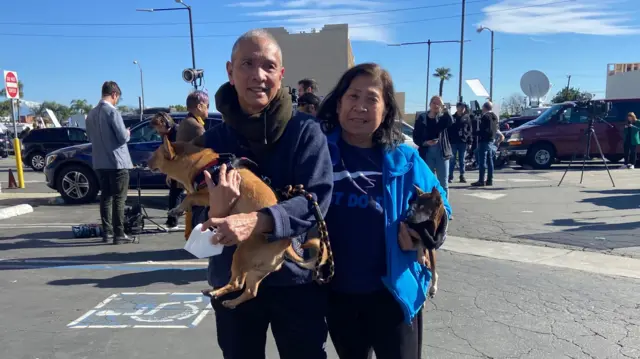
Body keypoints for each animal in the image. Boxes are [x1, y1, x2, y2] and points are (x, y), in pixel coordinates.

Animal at [148, 138, 330, 310]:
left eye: (155, 154)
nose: (144, 161)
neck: (198, 163)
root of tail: (286, 246)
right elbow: (189, 199)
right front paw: (178, 210)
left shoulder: (208, 194)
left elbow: (189, 197)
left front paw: (178, 208)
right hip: (255, 271)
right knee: (249, 290)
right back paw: (230, 301)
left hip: (241, 255)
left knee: (236, 283)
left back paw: (216, 292)